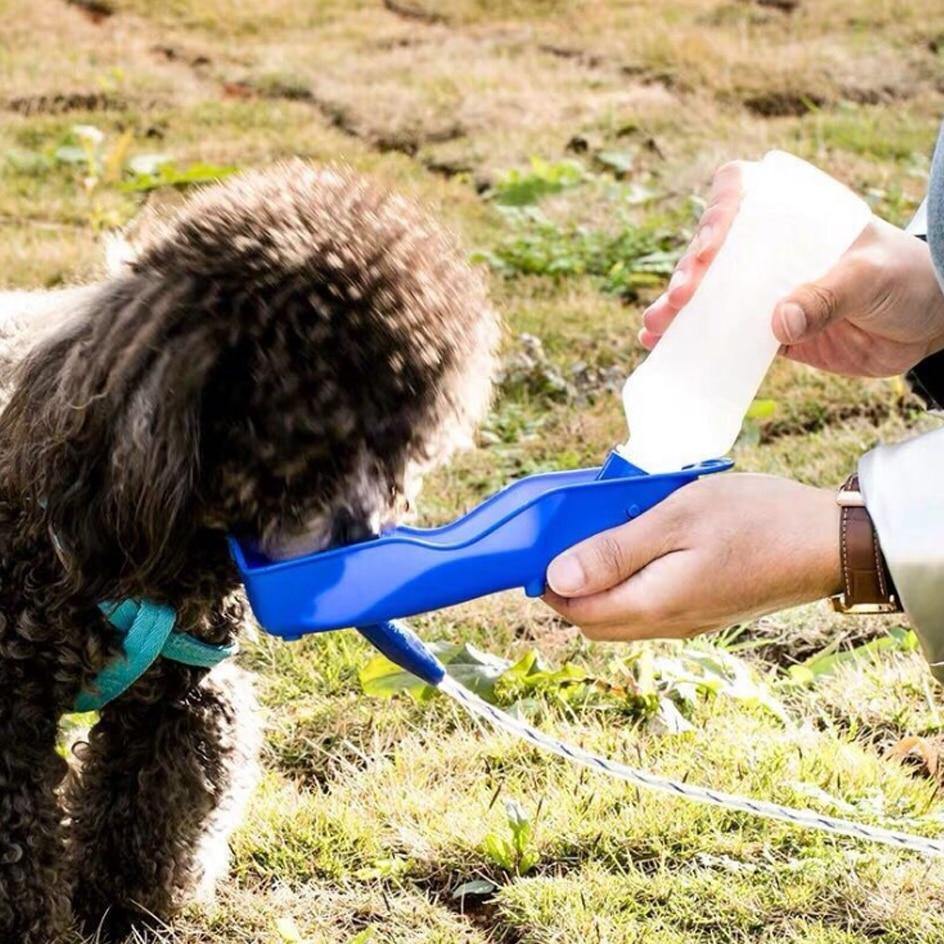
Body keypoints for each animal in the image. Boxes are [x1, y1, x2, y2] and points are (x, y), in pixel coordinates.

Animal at [0, 166, 502, 940]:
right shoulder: (8, 717)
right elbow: (19, 853)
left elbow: (149, 810)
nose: (366, 541)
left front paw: (124, 912)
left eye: (401, 444)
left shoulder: (180, 696)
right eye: (308, 432)